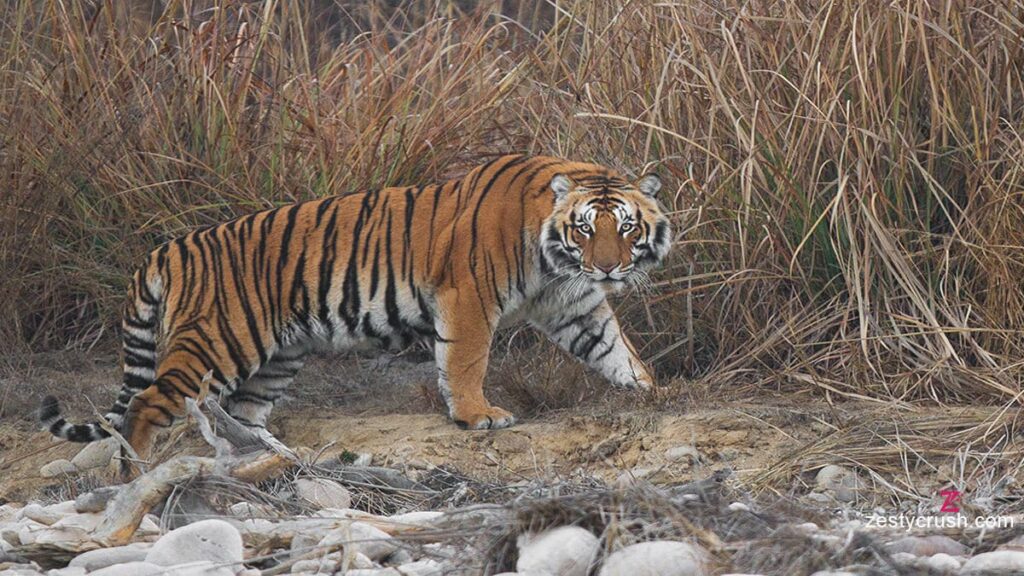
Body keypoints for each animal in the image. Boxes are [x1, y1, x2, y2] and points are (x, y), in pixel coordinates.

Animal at [39, 152, 675, 471]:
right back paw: (139, 475)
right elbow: (466, 362)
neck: (556, 260)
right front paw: (478, 416)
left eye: (626, 227)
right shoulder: (467, 297)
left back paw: (272, 457)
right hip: (218, 342)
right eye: (584, 228)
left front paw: (657, 393)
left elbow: (617, 353)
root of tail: (167, 248)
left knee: (240, 415)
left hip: (276, 357)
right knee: (143, 405)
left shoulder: (577, 306)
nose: (609, 268)